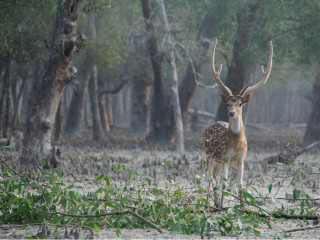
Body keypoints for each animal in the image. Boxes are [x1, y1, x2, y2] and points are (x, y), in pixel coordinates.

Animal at [202, 39, 272, 206]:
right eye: (228, 103)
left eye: (240, 104)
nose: (232, 113)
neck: (236, 145)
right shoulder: (226, 158)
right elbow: (225, 183)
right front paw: (222, 206)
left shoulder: (242, 160)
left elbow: (240, 184)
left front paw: (242, 206)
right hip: (208, 154)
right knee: (209, 178)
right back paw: (209, 202)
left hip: (218, 161)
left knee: (214, 177)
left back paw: (214, 202)